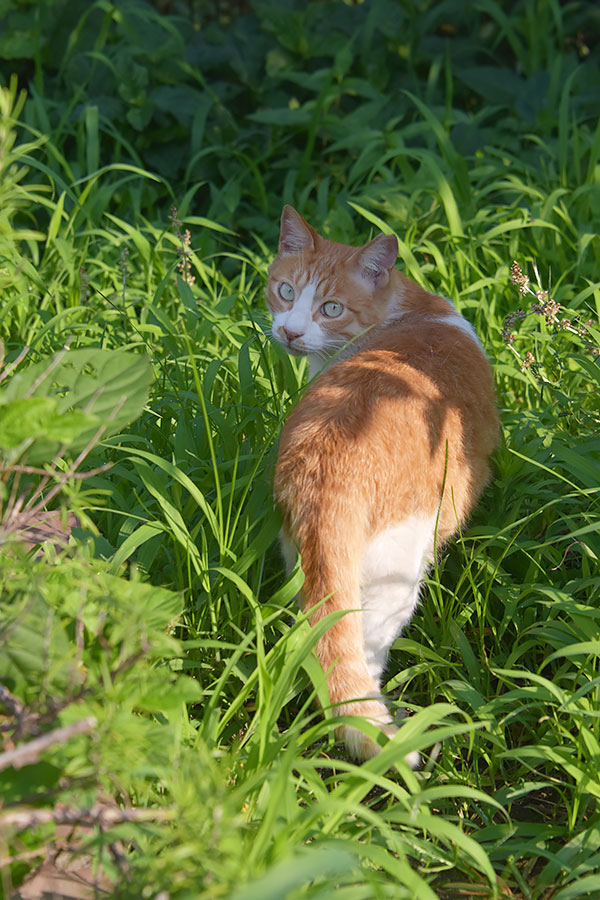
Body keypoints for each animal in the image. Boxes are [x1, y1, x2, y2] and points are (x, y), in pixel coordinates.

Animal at [268, 207, 496, 764]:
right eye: (286, 291)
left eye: (330, 308)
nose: (290, 332)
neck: (407, 309)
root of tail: (327, 470)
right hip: (397, 579)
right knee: (360, 661)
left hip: (301, 565)